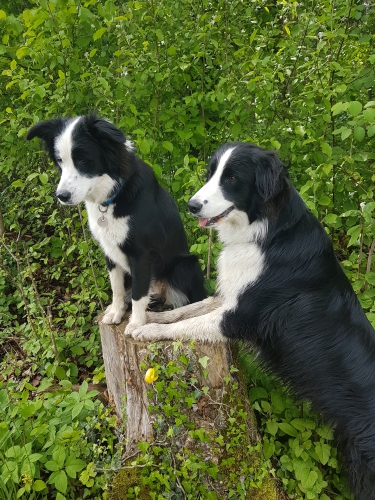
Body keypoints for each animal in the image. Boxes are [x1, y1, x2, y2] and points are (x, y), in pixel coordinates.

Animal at [26, 114, 207, 334]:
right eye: (60, 161)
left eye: (83, 159)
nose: (62, 196)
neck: (113, 195)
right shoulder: (109, 250)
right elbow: (116, 287)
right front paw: (116, 312)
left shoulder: (141, 254)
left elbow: (139, 293)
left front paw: (136, 323)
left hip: (185, 265)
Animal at [134, 143, 375, 498]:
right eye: (211, 173)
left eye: (232, 178)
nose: (191, 206)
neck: (268, 232)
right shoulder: (229, 298)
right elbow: (188, 309)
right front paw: (149, 315)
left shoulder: (240, 317)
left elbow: (183, 325)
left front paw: (148, 329)